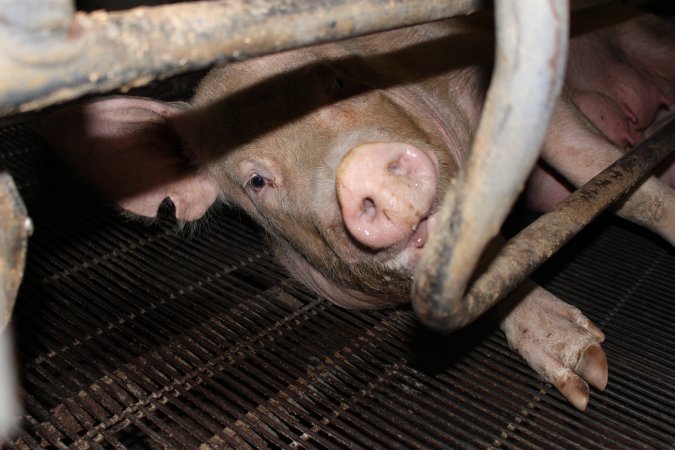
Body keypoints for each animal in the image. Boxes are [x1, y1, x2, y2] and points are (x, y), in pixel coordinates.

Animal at [41, 4, 675, 412]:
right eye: (255, 179)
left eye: (336, 78)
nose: (360, 171)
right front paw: (588, 374)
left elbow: (610, 176)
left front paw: (597, 372)